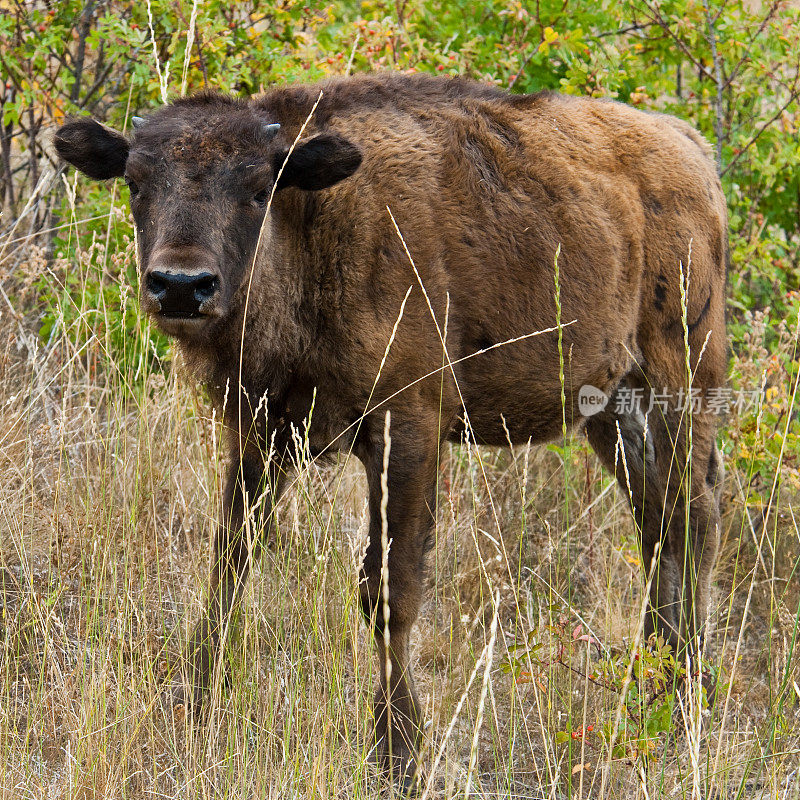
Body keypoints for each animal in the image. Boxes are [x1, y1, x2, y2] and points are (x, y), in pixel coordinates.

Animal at [56, 73, 728, 788]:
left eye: (260, 186)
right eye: (135, 181)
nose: (182, 286)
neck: (314, 224)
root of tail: (691, 149)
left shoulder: (404, 430)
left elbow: (390, 591)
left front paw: (399, 754)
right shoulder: (260, 435)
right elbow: (229, 564)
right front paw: (194, 713)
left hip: (680, 380)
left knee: (694, 515)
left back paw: (685, 702)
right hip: (609, 405)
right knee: (657, 520)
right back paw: (654, 690)